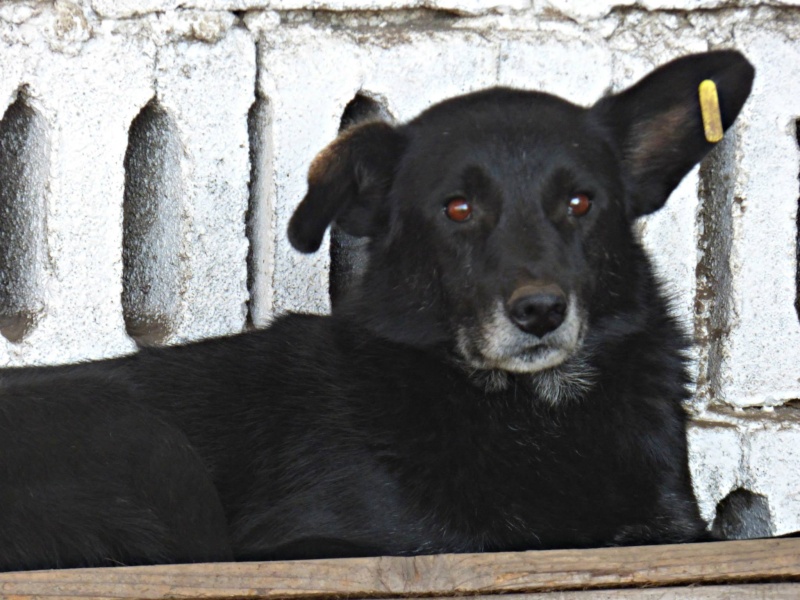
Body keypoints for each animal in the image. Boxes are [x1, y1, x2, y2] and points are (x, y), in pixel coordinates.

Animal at [0, 49, 752, 568]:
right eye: (458, 208)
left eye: (580, 202)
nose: (540, 311)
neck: (534, 410)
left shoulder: (675, 528)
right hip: (146, 442)